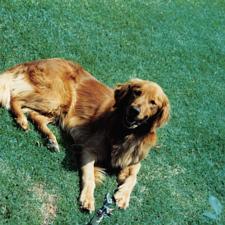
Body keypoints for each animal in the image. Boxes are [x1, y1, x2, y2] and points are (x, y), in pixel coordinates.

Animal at [0, 58, 169, 211]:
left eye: (153, 103)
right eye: (136, 92)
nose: (134, 111)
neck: (124, 132)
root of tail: (37, 61)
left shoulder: (133, 158)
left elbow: (134, 176)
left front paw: (123, 196)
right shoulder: (89, 149)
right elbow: (89, 176)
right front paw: (88, 198)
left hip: (60, 109)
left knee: (35, 115)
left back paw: (51, 140)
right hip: (56, 98)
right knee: (16, 99)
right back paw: (22, 120)